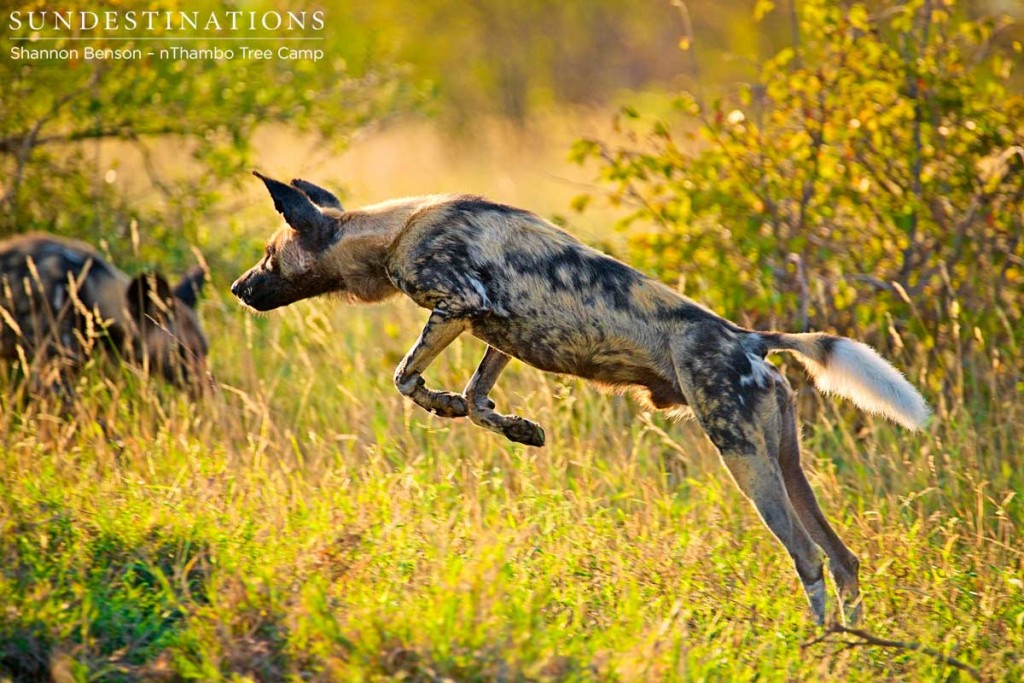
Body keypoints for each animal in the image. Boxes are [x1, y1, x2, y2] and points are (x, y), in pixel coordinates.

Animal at [230, 171, 929, 626]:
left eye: (269, 254)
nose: (237, 287)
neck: (394, 231)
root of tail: (749, 338)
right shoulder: (498, 329)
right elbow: (477, 398)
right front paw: (514, 427)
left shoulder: (460, 304)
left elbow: (406, 379)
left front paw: (444, 404)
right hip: (786, 459)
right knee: (843, 560)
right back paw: (852, 650)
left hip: (745, 460)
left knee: (809, 560)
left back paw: (823, 646)